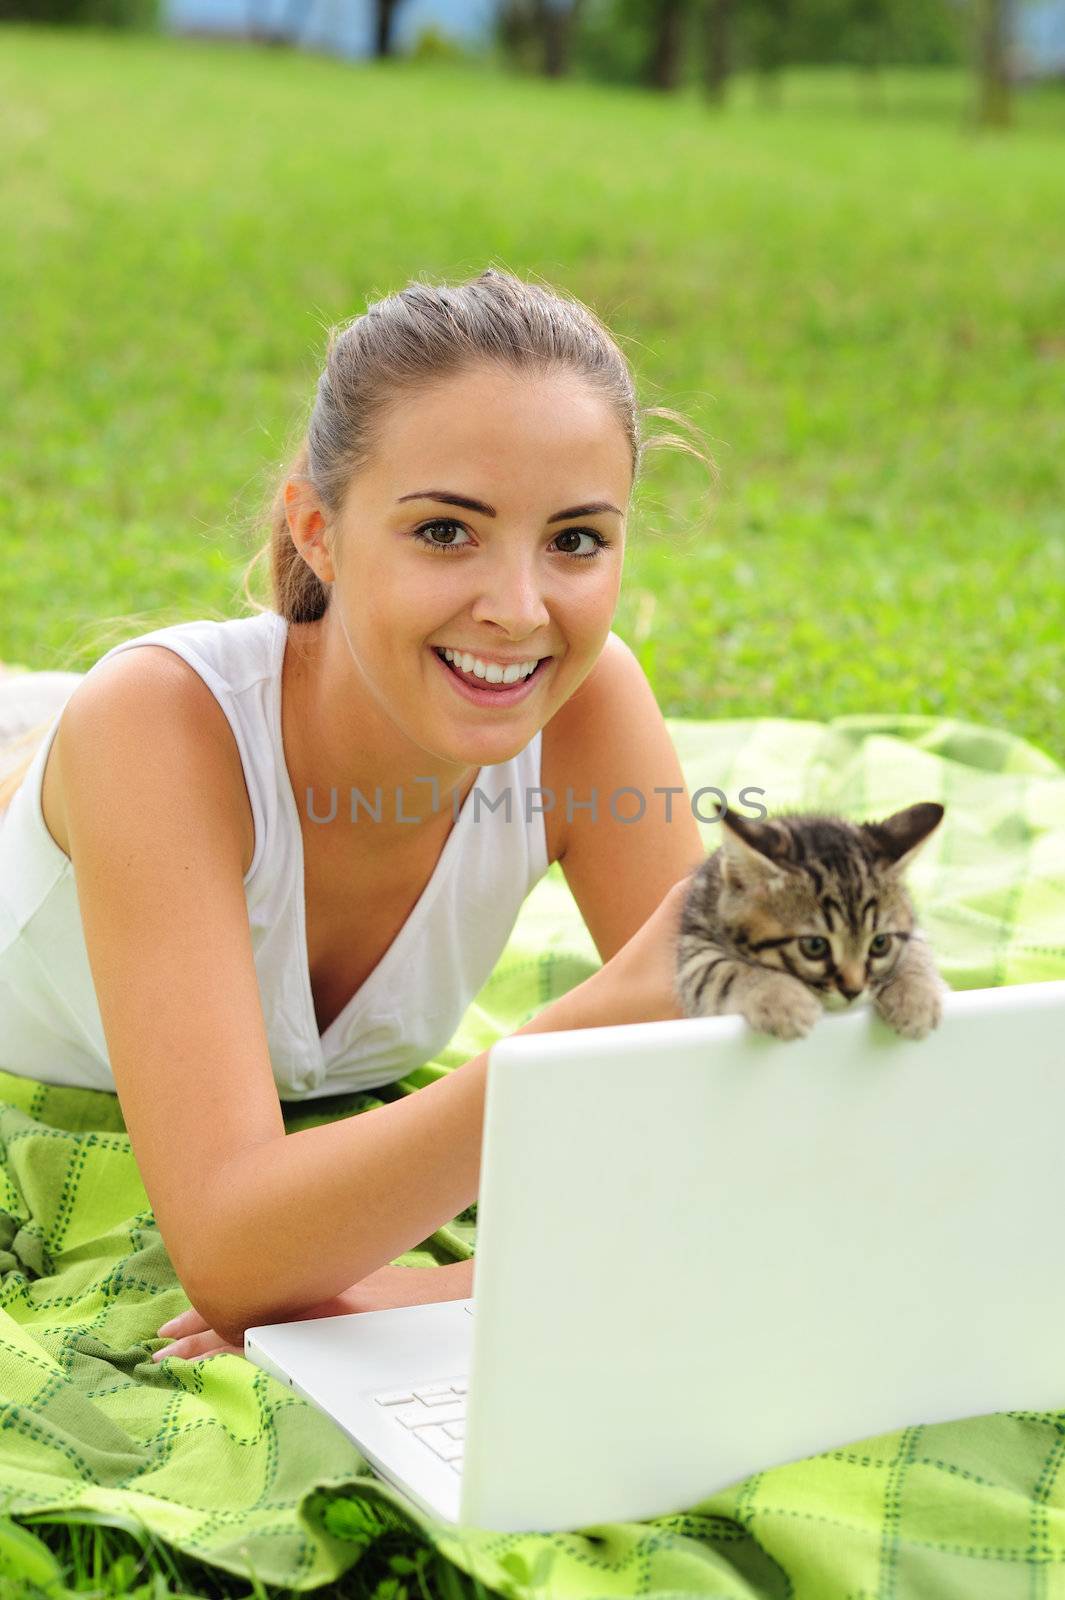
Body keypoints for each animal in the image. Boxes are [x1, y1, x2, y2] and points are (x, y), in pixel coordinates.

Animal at [671, 806, 946, 1043]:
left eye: (880, 944)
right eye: (814, 946)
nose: (853, 990)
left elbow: (917, 949)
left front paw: (916, 994)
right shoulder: (694, 945)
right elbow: (722, 970)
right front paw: (783, 998)